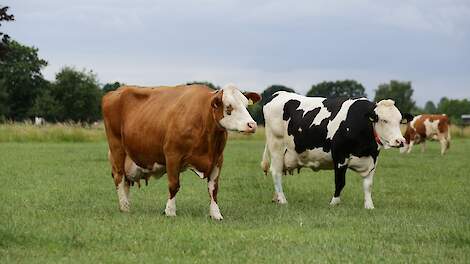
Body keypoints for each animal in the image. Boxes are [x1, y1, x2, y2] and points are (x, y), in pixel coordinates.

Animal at [102, 83, 260, 220]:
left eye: (246, 105)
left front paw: (216, 214)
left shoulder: (218, 159)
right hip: (116, 147)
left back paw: (126, 205)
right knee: (119, 177)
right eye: (228, 107)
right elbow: (174, 185)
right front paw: (170, 211)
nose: (252, 125)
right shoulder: (172, 155)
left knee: (126, 181)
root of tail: (117, 91)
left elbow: (213, 189)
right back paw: (124, 207)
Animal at [262, 92, 414, 209]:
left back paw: (277, 198)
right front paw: (334, 203)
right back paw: (283, 200)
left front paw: (369, 205)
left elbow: (368, 185)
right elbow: (340, 182)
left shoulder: (372, 160)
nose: (400, 141)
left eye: (400, 121)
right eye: (383, 120)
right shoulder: (340, 157)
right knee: (276, 172)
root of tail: (279, 93)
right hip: (276, 145)